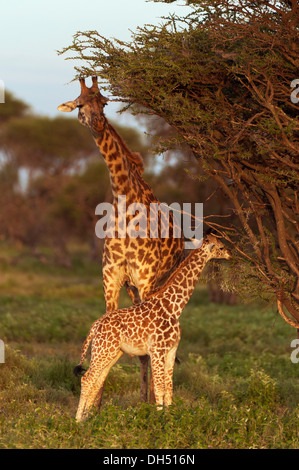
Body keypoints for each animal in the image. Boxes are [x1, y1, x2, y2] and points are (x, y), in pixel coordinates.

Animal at [74, 235, 231, 422]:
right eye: (221, 247)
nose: (230, 254)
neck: (174, 307)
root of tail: (94, 326)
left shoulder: (171, 350)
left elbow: (169, 388)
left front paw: (170, 418)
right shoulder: (157, 350)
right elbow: (159, 387)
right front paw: (158, 419)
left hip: (111, 353)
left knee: (97, 380)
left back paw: (87, 419)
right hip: (102, 351)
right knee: (87, 379)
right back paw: (77, 420)